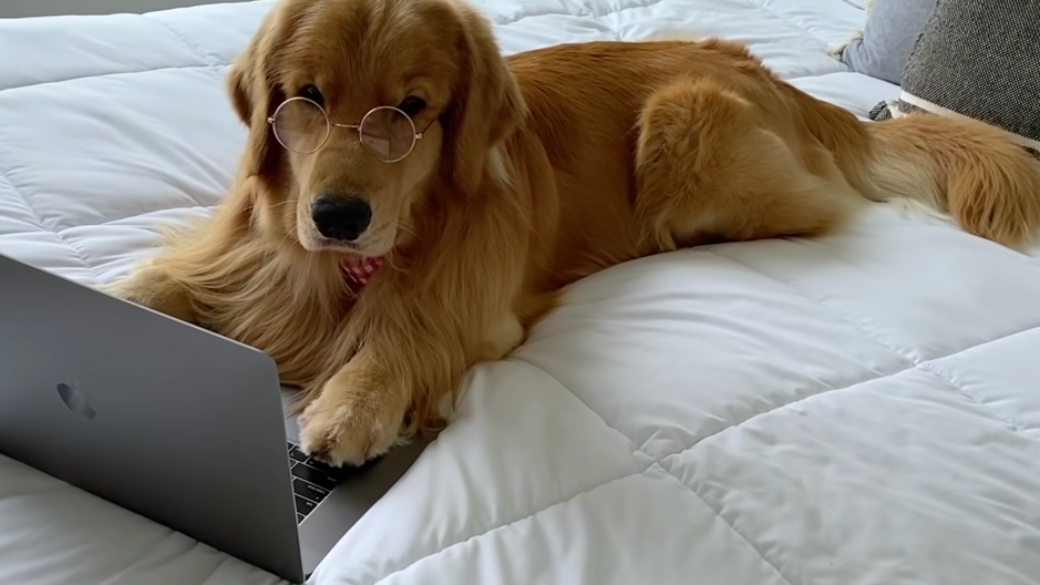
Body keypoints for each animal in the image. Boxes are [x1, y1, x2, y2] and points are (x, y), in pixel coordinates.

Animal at [105, 0, 1040, 466]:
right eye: (305, 96)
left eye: (411, 109)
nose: (337, 218)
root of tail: (780, 81)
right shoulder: (251, 262)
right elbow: (164, 284)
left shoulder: (471, 308)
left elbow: (406, 333)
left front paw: (353, 401)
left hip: (683, 126)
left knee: (814, 209)